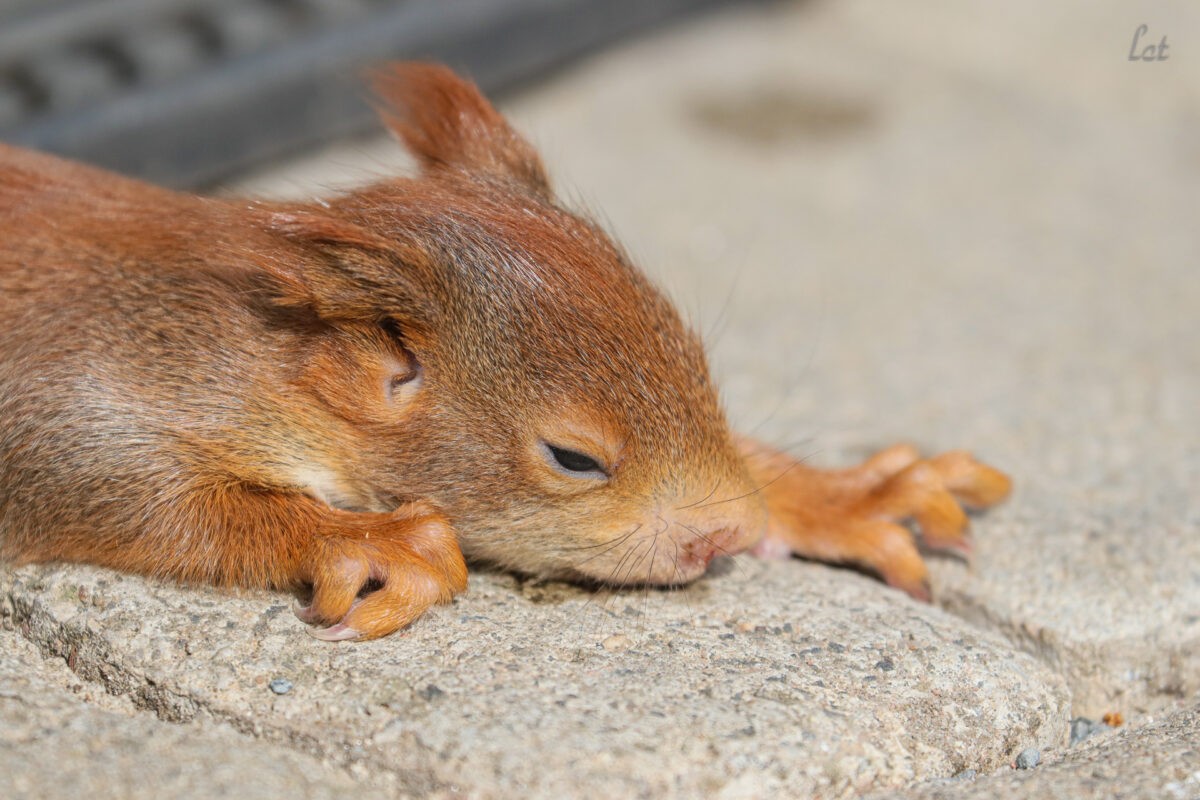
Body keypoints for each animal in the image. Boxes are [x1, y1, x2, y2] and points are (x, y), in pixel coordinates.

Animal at [0, 62, 1012, 642]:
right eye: (573, 459)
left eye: (695, 362)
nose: (723, 535)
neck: (264, 352)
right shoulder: (78, 413)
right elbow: (162, 511)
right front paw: (376, 539)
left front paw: (844, 497)